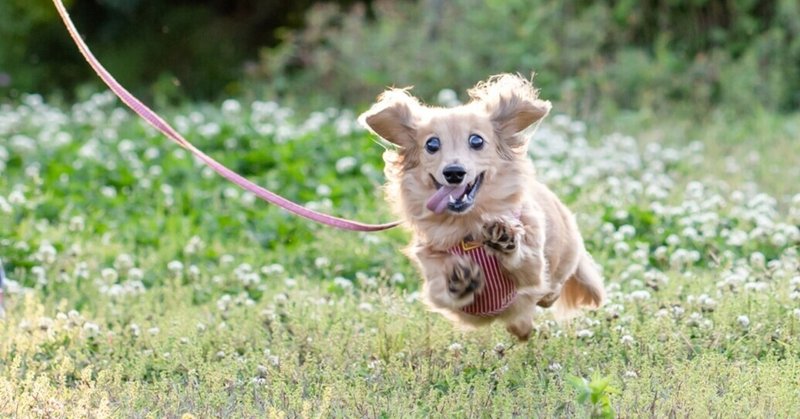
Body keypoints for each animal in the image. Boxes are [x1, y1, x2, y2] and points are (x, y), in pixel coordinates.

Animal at [360, 73, 604, 342]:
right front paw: (459, 279)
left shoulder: (534, 269)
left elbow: (524, 263)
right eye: (432, 144)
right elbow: (441, 289)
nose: (454, 172)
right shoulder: (434, 275)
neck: (468, 227)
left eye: (476, 140)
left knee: (552, 290)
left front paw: (504, 237)